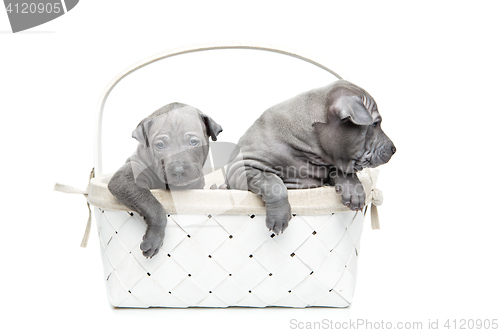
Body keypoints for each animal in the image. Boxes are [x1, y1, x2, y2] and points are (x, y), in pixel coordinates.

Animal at [109, 102, 223, 258]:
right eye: (160, 145)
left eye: (193, 142)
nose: (178, 170)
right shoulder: (124, 179)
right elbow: (152, 205)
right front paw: (153, 239)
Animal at [227, 79, 394, 233]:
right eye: (375, 124)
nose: (394, 149)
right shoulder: (241, 168)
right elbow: (273, 182)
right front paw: (279, 217)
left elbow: (340, 171)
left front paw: (353, 190)